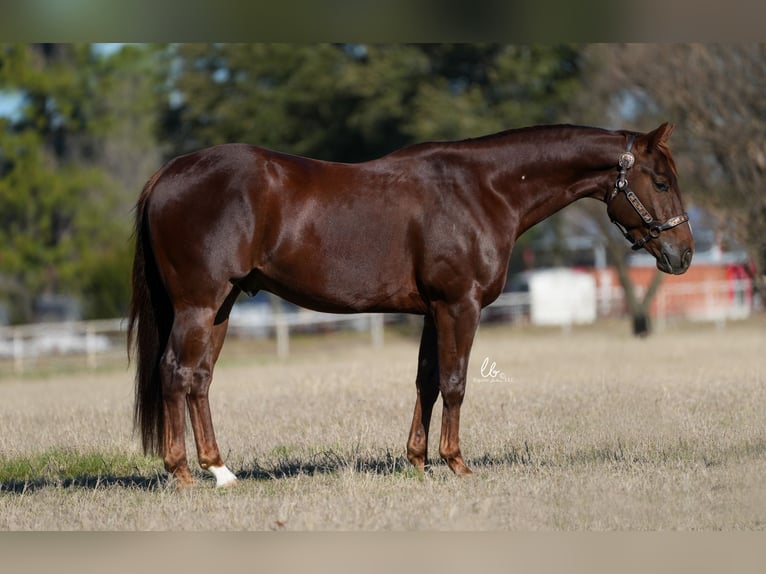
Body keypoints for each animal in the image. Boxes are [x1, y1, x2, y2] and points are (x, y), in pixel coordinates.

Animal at [129, 124, 692, 488]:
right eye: (661, 182)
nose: (682, 254)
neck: (482, 191)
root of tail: (168, 174)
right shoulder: (459, 305)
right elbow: (455, 382)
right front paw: (457, 463)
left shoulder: (432, 311)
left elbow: (426, 382)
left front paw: (418, 461)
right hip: (199, 304)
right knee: (176, 372)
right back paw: (183, 474)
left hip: (221, 306)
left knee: (200, 379)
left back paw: (221, 470)